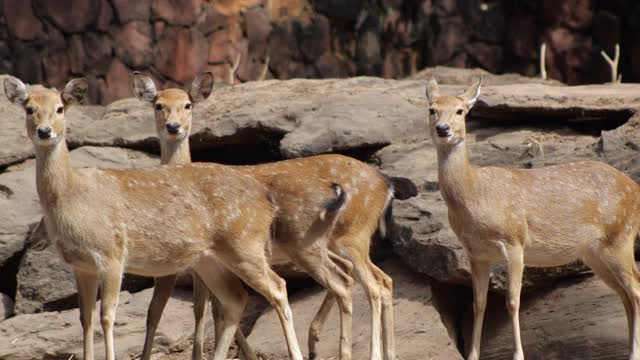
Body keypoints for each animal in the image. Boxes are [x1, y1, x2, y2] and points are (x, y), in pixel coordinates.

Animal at [1, 76, 350, 360]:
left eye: (60, 108)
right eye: (29, 108)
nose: (45, 131)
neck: (74, 198)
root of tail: (265, 201)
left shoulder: (112, 254)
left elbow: (106, 317)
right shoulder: (81, 265)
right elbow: (85, 319)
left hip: (244, 245)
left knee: (277, 287)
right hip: (209, 259)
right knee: (235, 299)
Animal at [132, 72, 398, 360]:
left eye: (187, 105)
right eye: (158, 105)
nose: (173, 127)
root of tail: (385, 185)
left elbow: (182, 309)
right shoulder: (201, 264)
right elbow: (197, 308)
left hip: (349, 236)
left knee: (369, 284)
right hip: (340, 242)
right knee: (379, 279)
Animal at [428, 76, 640, 360]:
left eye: (461, 111)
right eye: (432, 109)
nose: (443, 129)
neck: (475, 194)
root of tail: (635, 189)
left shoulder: (515, 241)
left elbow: (512, 301)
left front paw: (518, 355)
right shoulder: (476, 253)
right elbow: (479, 303)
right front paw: (472, 355)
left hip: (620, 237)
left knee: (635, 289)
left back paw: (634, 352)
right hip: (595, 253)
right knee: (624, 294)